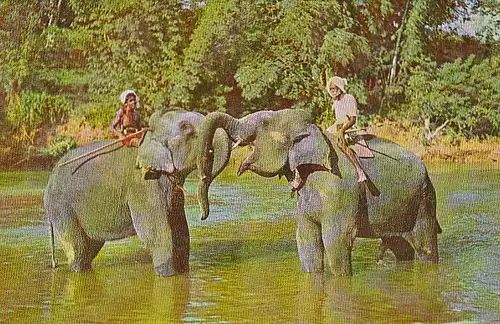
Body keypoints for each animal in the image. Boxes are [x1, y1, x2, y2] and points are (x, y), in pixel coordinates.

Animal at [43, 109, 230, 276]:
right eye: (187, 129)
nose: (202, 216)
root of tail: (49, 180)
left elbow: (180, 230)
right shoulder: (143, 187)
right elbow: (156, 234)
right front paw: (167, 275)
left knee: (90, 247)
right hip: (61, 208)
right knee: (78, 248)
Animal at [195, 109, 442, 276]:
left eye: (265, 122)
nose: (203, 216)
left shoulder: (340, 191)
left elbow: (336, 241)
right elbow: (306, 239)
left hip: (424, 200)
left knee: (425, 247)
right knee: (400, 247)